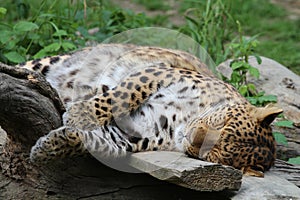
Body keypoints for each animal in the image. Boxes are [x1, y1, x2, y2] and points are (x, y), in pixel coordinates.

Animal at [17, 43, 282, 177]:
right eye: (221, 121)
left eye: (214, 154)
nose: (192, 135)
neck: (185, 119)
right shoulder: (158, 72)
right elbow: (121, 95)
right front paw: (79, 113)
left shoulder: (139, 132)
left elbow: (93, 142)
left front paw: (47, 148)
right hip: (47, 63)